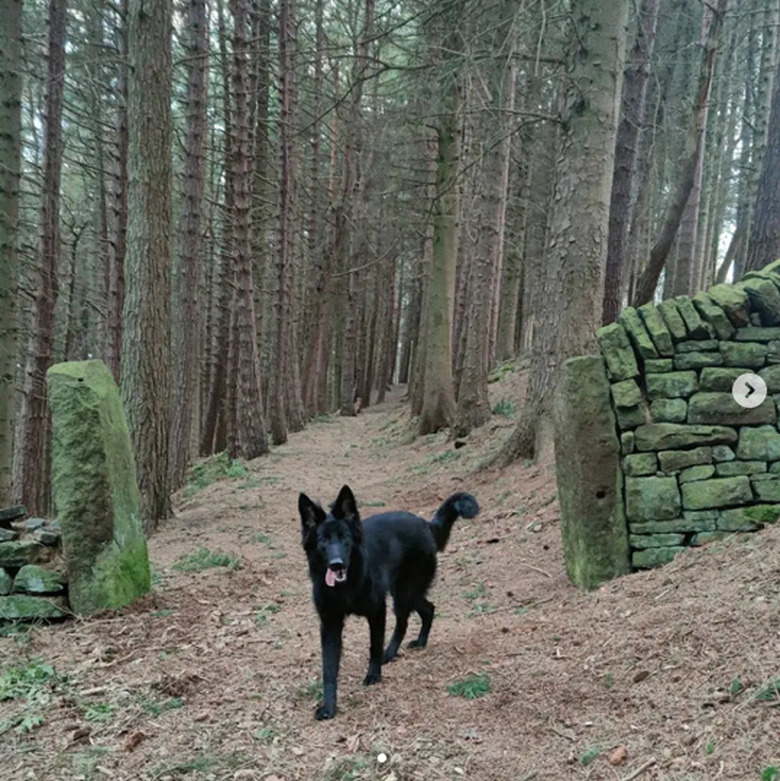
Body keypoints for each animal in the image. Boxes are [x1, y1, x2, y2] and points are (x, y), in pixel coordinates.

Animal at [298, 488, 478, 720]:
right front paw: (329, 706)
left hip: (404, 593)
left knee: (406, 621)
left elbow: (374, 646)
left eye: (345, 538)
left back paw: (391, 653)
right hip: (406, 593)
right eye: (323, 540)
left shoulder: (377, 611)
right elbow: (328, 668)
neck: (346, 586)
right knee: (428, 609)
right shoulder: (330, 623)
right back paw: (419, 642)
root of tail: (425, 524)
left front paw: (374, 675)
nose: (336, 564)